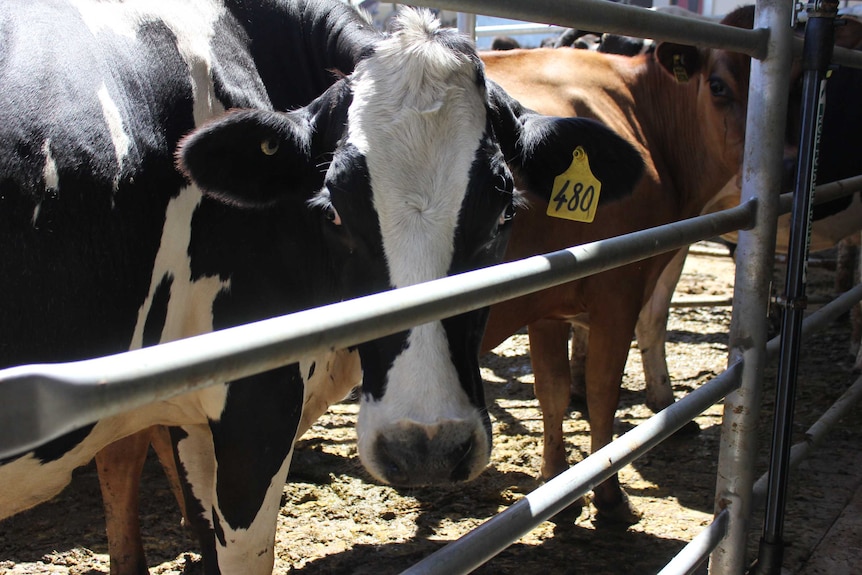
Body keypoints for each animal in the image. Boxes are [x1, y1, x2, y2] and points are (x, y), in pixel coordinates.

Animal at [482, 5, 760, 528]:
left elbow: (553, 391)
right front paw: (609, 497)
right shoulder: (620, 287)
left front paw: (556, 486)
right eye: (717, 85)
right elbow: (602, 390)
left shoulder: (546, 301)